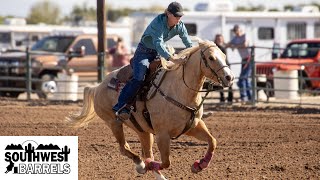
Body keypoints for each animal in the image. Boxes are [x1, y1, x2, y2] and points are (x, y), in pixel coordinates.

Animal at [66, 40, 234, 179]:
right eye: (211, 58)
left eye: (224, 55)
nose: (229, 77)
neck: (179, 90)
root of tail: (98, 86)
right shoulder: (162, 135)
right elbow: (166, 162)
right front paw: (148, 165)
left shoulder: (193, 126)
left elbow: (212, 141)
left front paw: (199, 166)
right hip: (113, 122)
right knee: (125, 148)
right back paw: (141, 165)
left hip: (143, 130)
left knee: (145, 151)